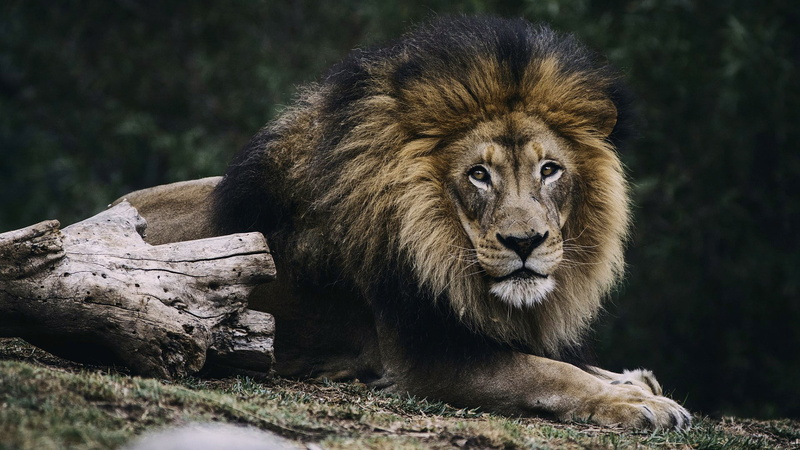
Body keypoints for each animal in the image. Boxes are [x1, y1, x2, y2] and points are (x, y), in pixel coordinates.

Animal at [119, 17, 690, 429]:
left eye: (550, 170)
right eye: (478, 175)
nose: (524, 242)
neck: (444, 244)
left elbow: (570, 363)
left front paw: (633, 382)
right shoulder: (423, 359)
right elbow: (548, 374)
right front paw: (638, 403)